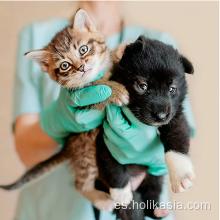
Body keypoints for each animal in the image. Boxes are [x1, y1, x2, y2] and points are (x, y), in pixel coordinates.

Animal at [96, 35, 194, 218]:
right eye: (143, 86)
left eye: (172, 89)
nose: (161, 116)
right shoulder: (105, 133)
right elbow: (111, 161)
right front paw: (120, 191)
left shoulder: (176, 118)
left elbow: (177, 142)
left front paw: (181, 175)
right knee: (133, 209)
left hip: (154, 179)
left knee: (151, 196)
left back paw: (158, 211)